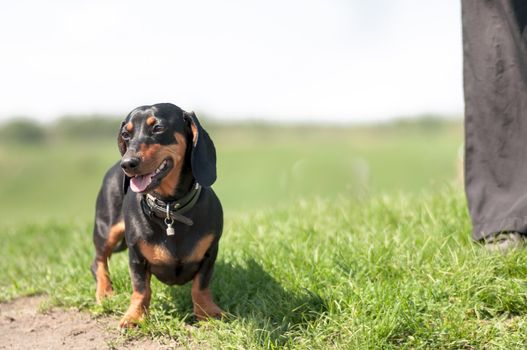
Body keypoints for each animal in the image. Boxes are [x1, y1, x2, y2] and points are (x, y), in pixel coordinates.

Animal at [91, 102, 223, 326]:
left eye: (158, 128)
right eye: (126, 134)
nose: (127, 164)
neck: (170, 209)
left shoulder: (210, 252)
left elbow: (200, 286)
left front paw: (207, 312)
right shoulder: (136, 257)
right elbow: (141, 289)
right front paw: (134, 317)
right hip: (106, 230)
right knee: (99, 261)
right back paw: (104, 292)